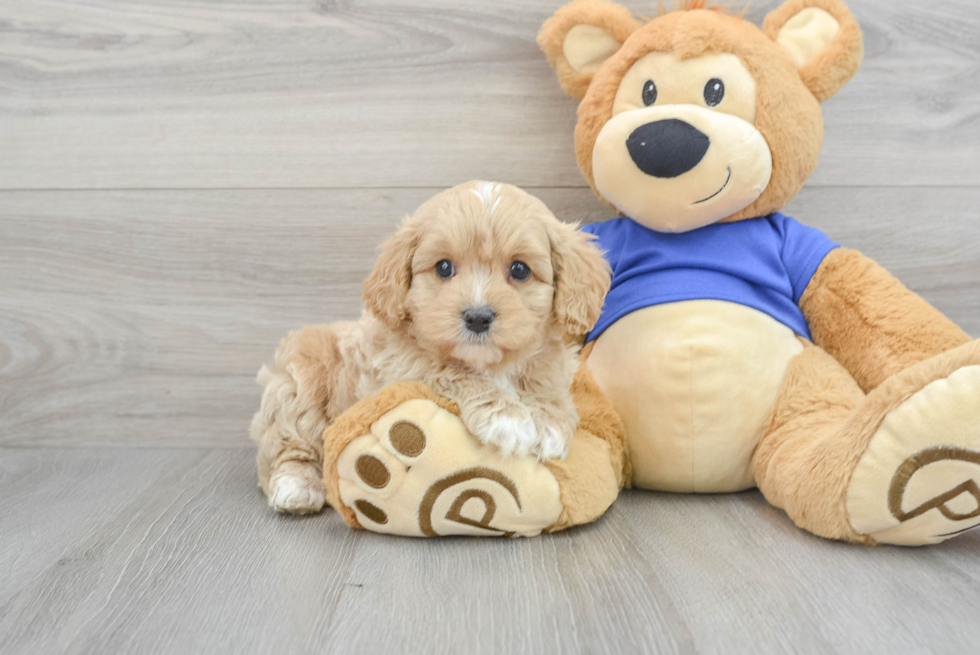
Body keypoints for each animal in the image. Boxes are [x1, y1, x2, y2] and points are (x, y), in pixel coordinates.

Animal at [249, 182, 608, 516]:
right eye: (443, 268)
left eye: (519, 269)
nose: (478, 317)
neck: (492, 364)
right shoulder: (403, 364)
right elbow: (451, 370)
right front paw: (506, 418)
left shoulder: (550, 359)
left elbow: (546, 380)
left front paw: (548, 424)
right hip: (300, 382)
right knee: (289, 442)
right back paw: (297, 487)